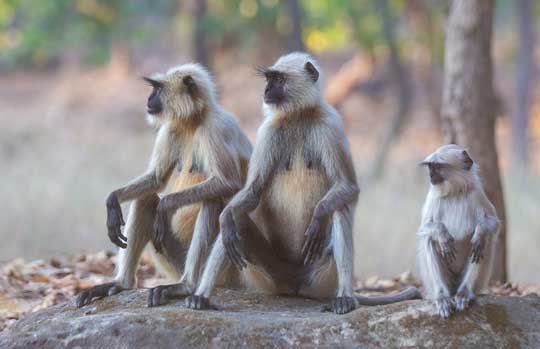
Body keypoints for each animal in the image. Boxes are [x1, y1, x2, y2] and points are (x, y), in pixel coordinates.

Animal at [75, 63, 251, 308]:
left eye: (157, 89)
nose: (149, 98)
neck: (193, 120)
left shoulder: (217, 128)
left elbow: (228, 182)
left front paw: (165, 205)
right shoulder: (170, 129)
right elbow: (156, 180)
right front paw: (112, 201)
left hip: (235, 267)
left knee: (213, 199)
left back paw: (186, 286)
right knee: (145, 199)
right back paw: (120, 284)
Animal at [184, 53, 420, 314]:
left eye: (278, 80)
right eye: (269, 79)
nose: (266, 90)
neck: (298, 115)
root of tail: (294, 283)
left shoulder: (330, 126)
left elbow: (347, 187)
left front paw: (318, 217)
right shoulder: (267, 131)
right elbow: (251, 193)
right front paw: (225, 218)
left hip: (322, 278)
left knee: (339, 207)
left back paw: (345, 297)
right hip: (269, 277)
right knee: (237, 224)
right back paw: (201, 296)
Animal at [416, 144, 500, 318]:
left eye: (438, 166)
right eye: (430, 166)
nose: (431, 175)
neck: (455, 191)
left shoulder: (477, 194)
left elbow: (493, 224)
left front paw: (480, 231)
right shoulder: (433, 195)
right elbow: (424, 228)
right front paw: (442, 234)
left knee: (484, 241)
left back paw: (464, 293)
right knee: (429, 239)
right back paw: (442, 297)